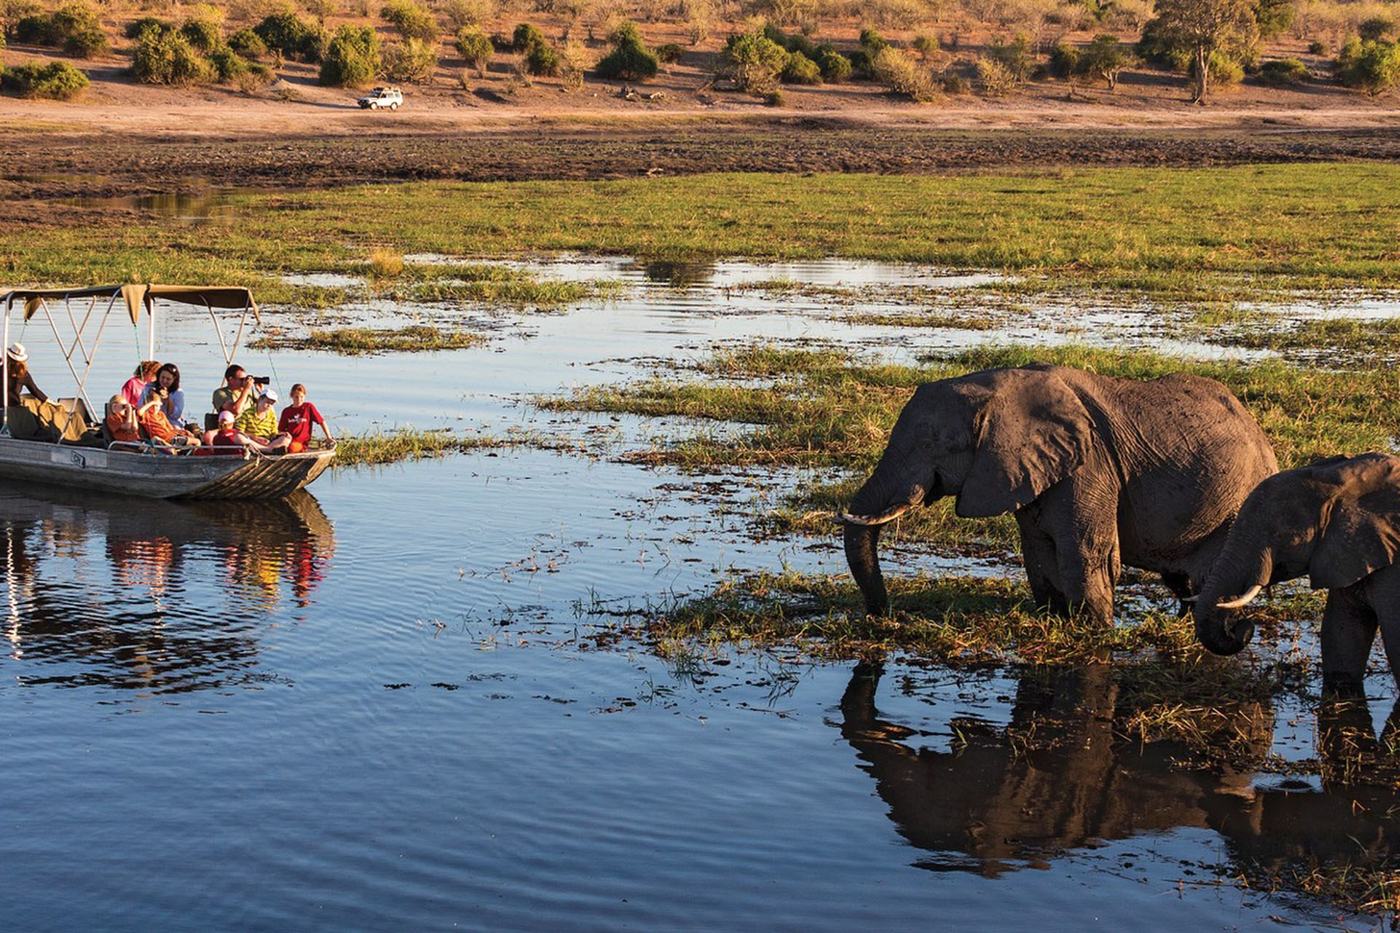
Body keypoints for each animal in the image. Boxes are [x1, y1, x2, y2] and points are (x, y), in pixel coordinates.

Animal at [840, 364, 1278, 624]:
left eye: (935, 444)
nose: (883, 616)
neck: (998, 387)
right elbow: (1038, 552)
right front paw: (1056, 620)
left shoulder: (1089, 467)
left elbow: (1085, 553)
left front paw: (1096, 632)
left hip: (1238, 506)